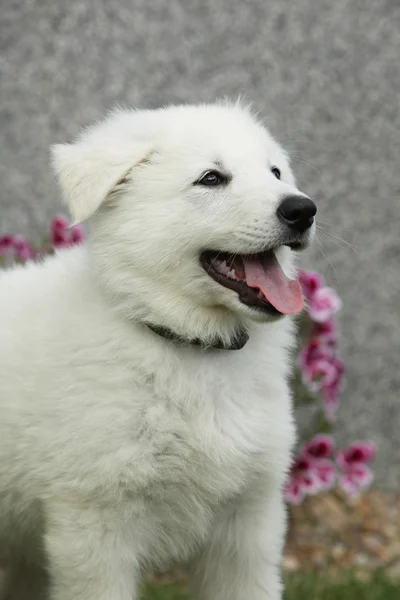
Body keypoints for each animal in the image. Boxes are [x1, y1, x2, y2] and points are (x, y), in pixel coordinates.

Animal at [0, 103, 316, 600]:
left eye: (275, 172)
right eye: (211, 178)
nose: (303, 209)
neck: (185, 342)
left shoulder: (248, 522)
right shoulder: (95, 526)